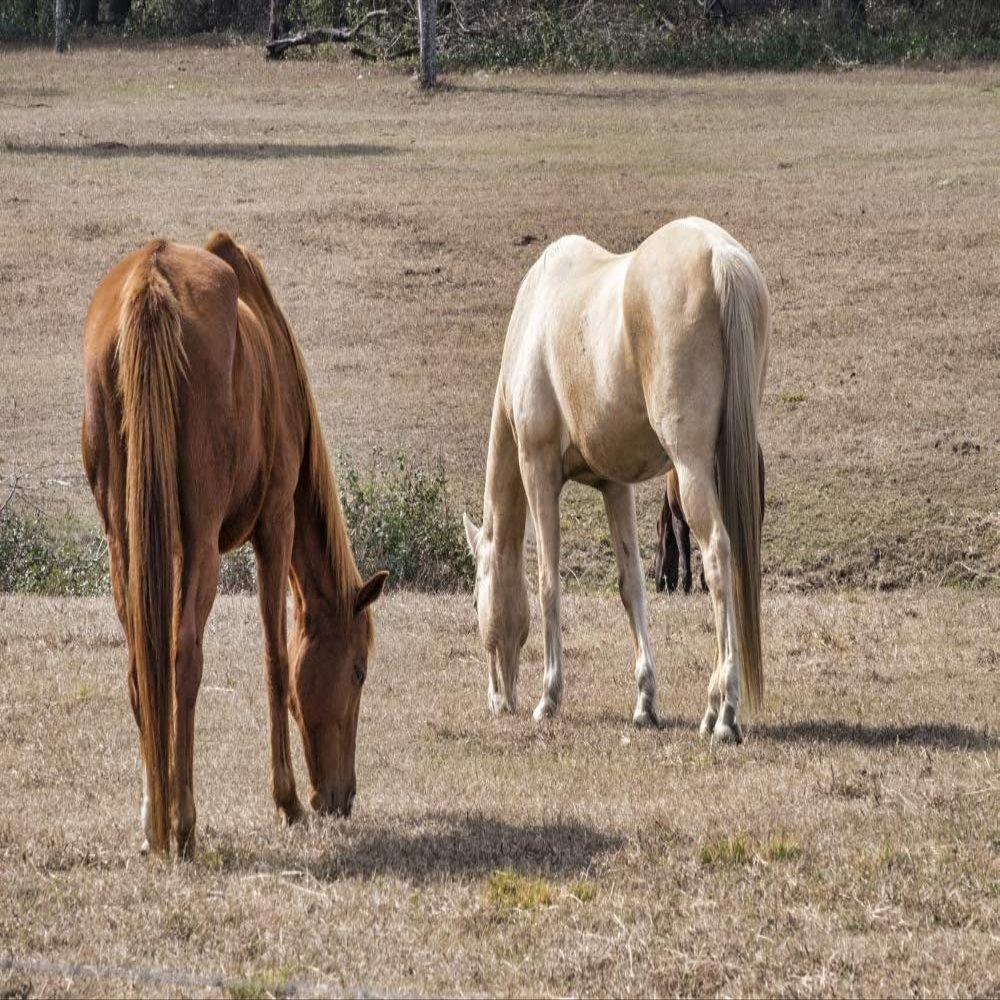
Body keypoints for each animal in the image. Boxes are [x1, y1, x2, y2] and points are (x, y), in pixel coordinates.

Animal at [82, 233, 388, 857]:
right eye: (358, 672)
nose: (341, 798)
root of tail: (151, 282)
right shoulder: (274, 525)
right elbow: (275, 662)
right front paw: (287, 802)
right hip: (201, 540)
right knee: (183, 658)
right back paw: (182, 822)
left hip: (124, 539)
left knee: (142, 662)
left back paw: (154, 820)